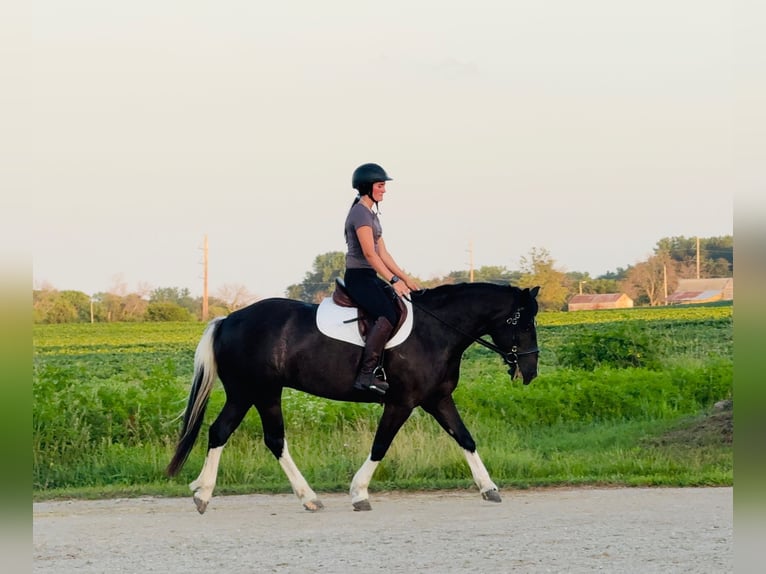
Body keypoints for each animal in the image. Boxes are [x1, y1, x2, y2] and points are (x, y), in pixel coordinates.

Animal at [166, 282, 540, 513]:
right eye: (524, 324)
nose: (531, 370)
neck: (435, 331)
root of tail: (228, 319)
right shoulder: (402, 402)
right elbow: (381, 445)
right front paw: (359, 493)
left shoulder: (437, 400)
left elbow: (465, 438)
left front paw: (489, 488)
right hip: (259, 391)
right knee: (264, 438)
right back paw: (303, 497)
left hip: (248, 394)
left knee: (225, 432)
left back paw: (203, 492)